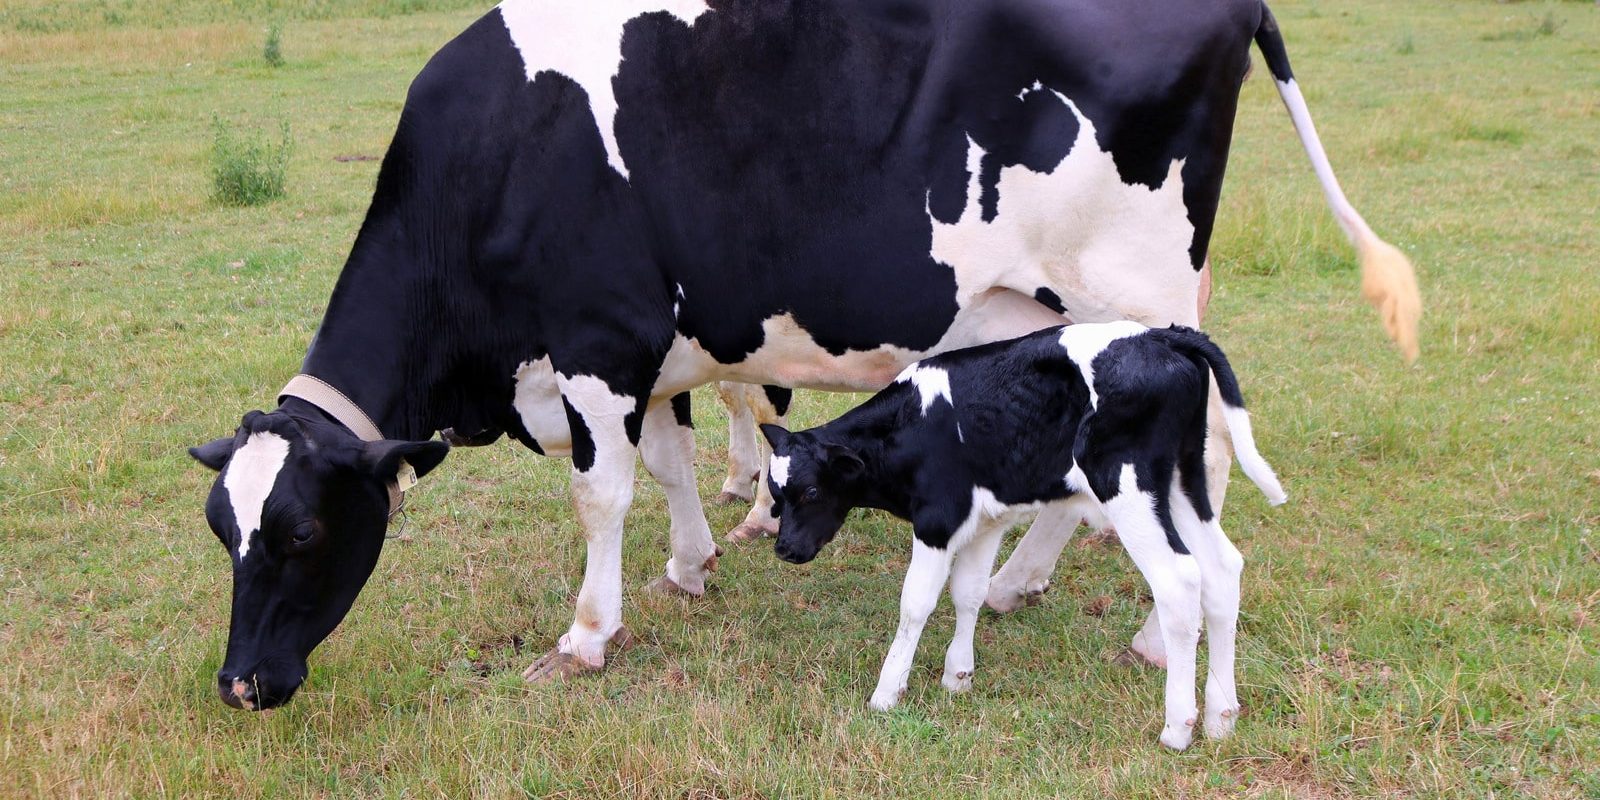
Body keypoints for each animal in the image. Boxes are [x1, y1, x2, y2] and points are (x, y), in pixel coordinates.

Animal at [759, 322, 1286, 749]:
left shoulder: (937, 521)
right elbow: (968, 592)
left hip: (1128, 486)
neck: (912, 426)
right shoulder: (985, 520)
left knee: (1179, 581)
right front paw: (958, 676)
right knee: (1222, 570)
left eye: (810, 491)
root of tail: (1160, 335)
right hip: (1181, 480)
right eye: (775, 494)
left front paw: (887, 692)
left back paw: (1178, 727)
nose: (785, 549)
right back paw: (1221, 717)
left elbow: (916, 603)